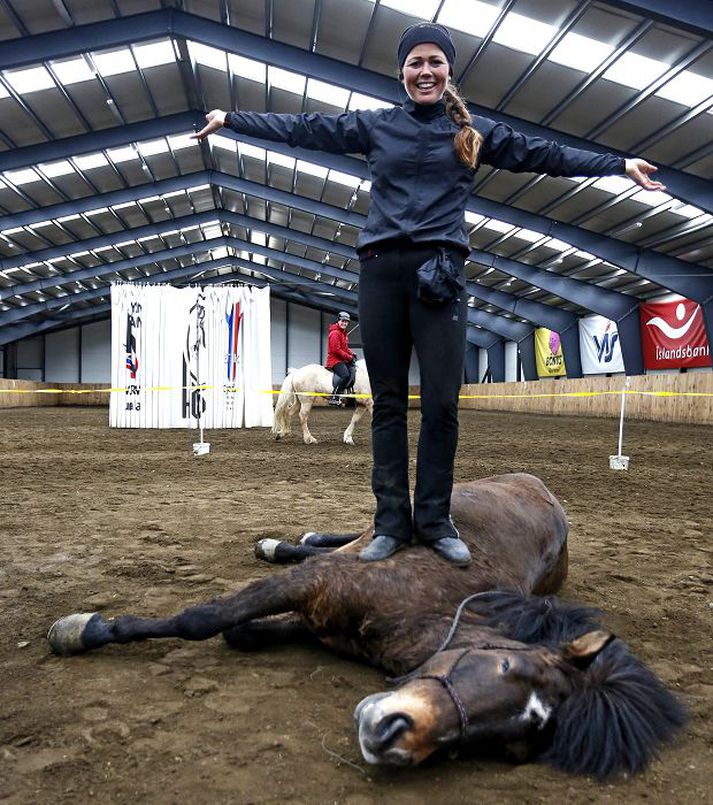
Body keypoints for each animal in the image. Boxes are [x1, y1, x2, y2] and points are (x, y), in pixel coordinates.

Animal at [47, 472, 680, 780]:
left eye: (512, 749)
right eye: (505, 664)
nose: (394, 737)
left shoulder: (317, 617)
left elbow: (239, 631)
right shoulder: (314, 583)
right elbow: (202, 619)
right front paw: (82, 631)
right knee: (344, 534)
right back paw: (282, 541)